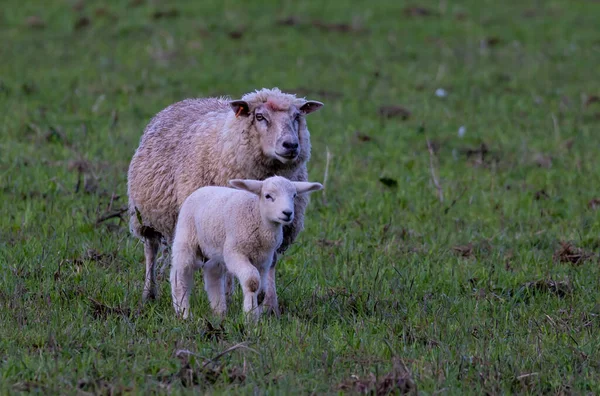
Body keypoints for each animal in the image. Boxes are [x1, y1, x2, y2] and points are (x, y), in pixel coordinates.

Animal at [169, 176, 324, 318]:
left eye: (294, 196)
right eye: (268, 196)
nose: (287, 213)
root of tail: (202, 189)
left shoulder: (264, 260)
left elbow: (261, 291)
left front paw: (257, 316)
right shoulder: (235, 253)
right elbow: (252, 282)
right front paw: (250, 317)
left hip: (217, 247)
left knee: (213, 271)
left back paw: (219, 312)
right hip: (186, 238)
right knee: (179, 275)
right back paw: (184, 313)